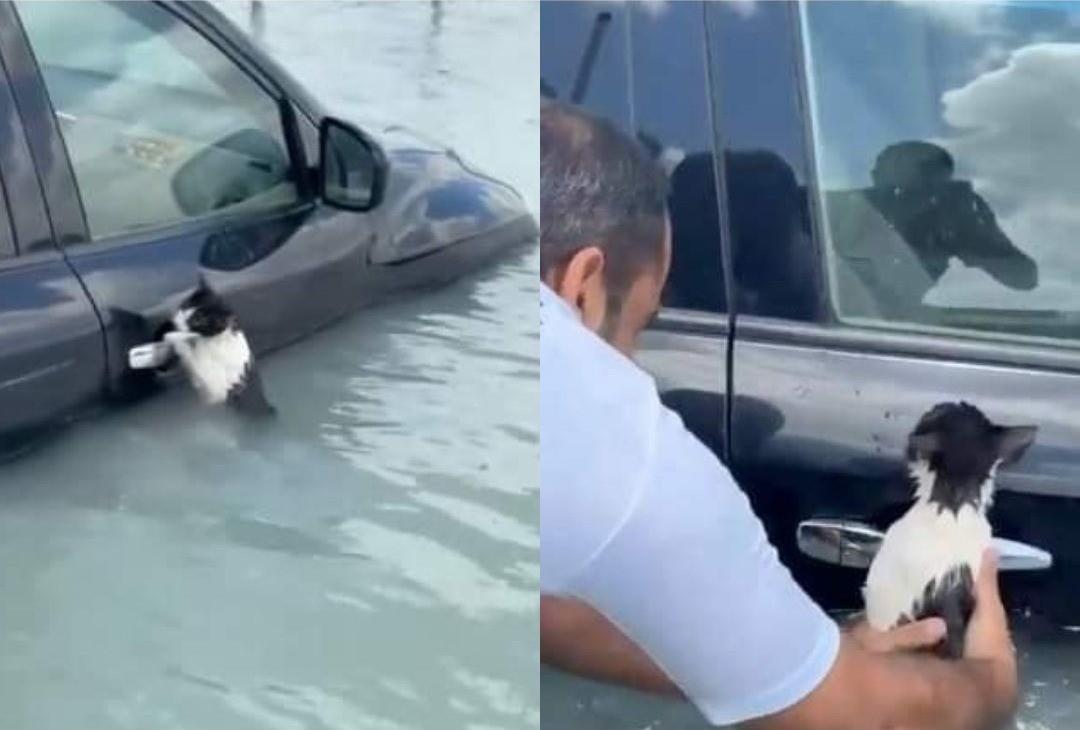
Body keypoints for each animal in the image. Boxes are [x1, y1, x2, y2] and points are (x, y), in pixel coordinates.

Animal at [164, 278, 276, 416]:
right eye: (185, 305)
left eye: (198, 320)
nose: (179, 319)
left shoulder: (211, 379)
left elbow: (186, 350)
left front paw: (173, 336)